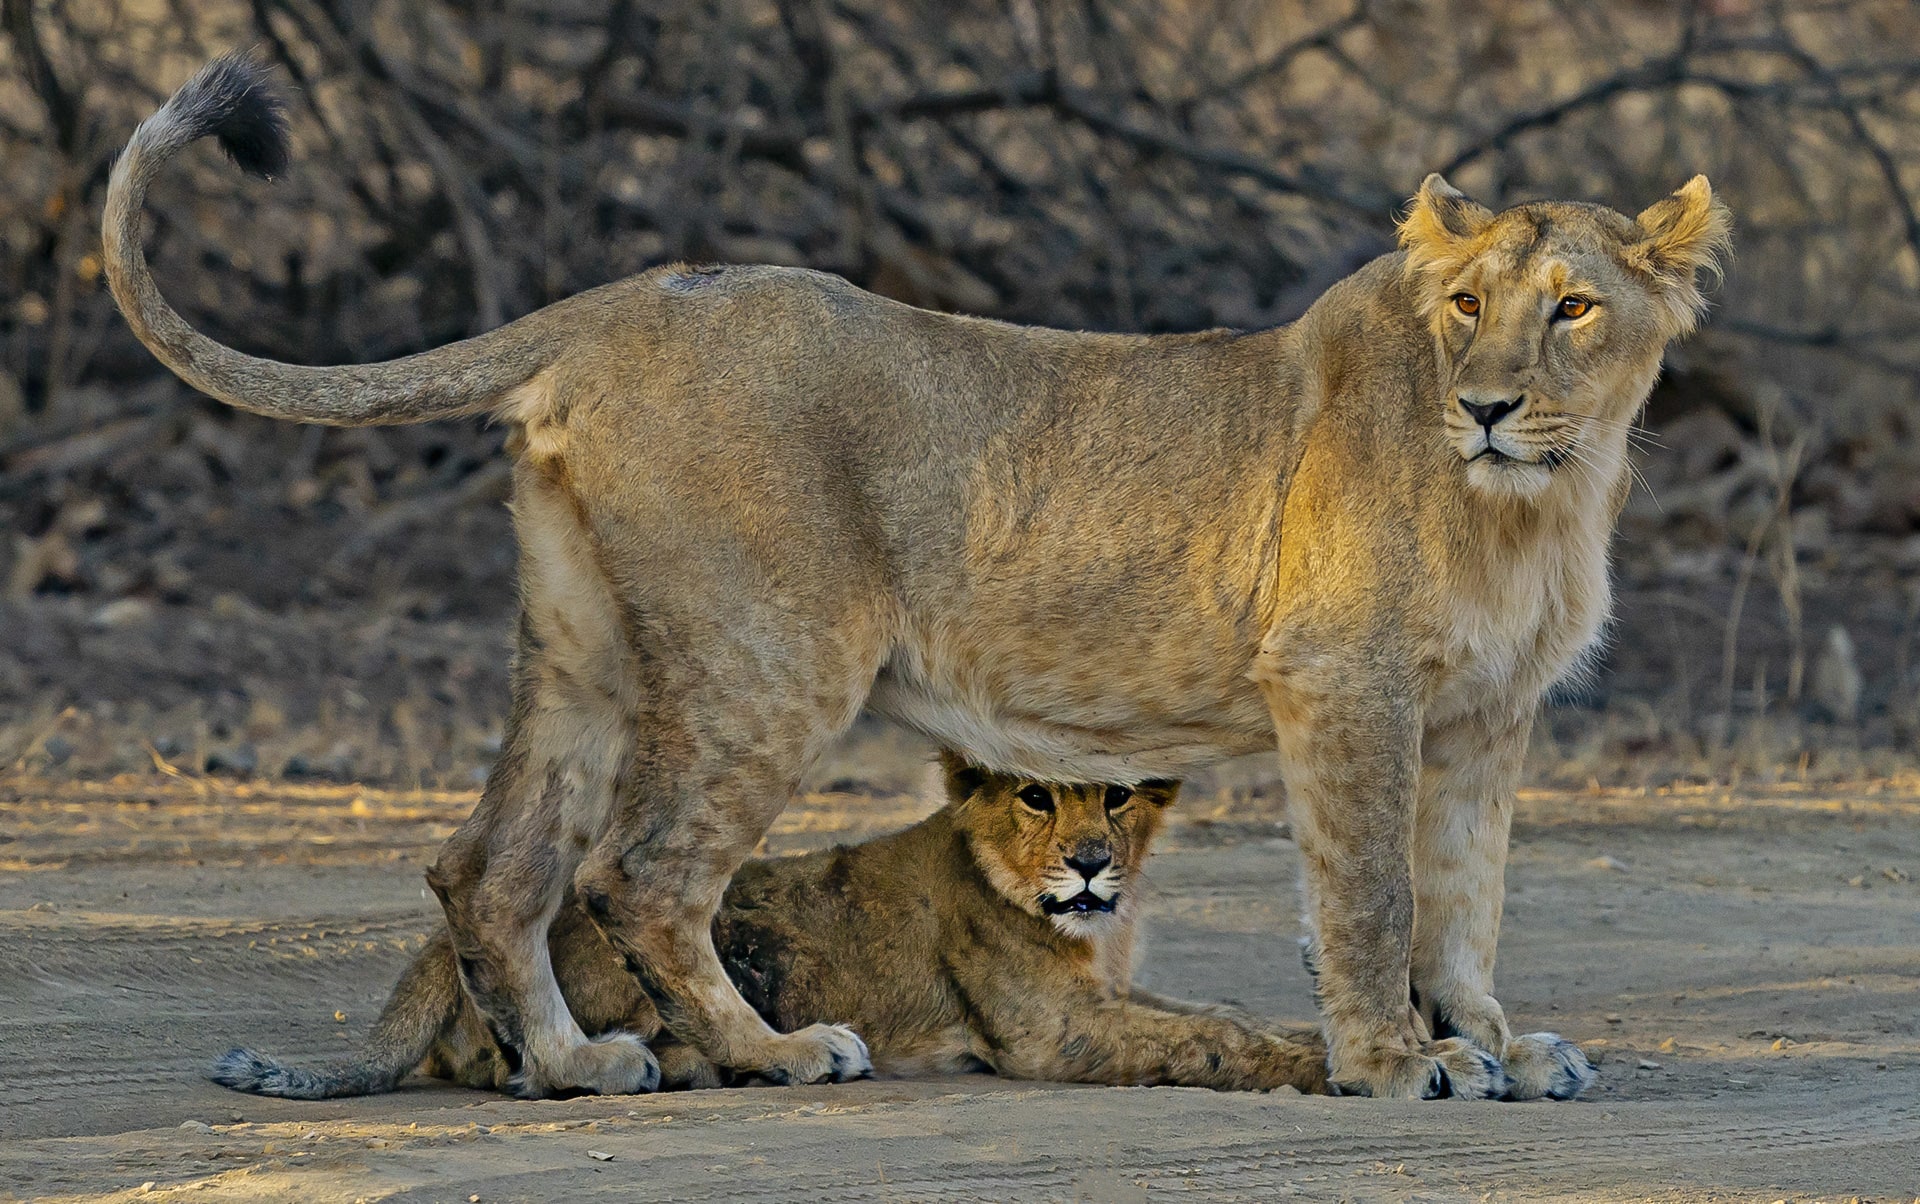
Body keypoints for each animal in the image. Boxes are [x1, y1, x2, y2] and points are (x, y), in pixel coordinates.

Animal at [211, 759, 1328, 1097]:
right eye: (1037, 798)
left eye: (1118, 796)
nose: (1093, 861)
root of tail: (432, 955)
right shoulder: (1051, 1033)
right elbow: (1208, 1038)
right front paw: (1331, 1067)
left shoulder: (1104, 995)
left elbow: (1224, 1011)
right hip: (735, 935)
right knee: (530, 1059)